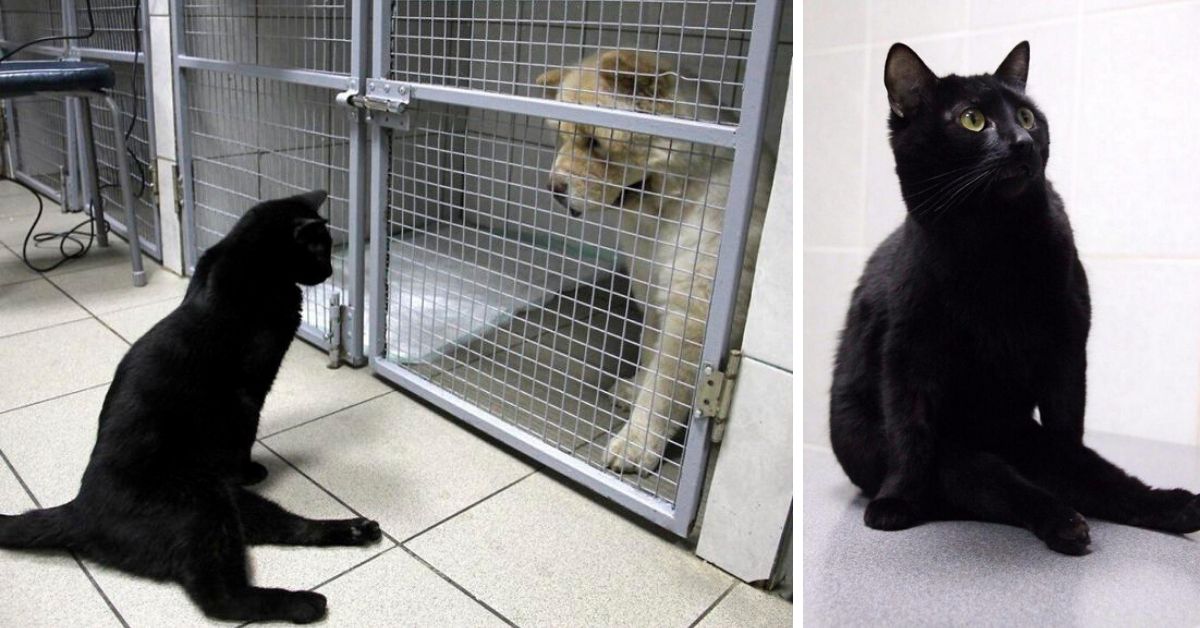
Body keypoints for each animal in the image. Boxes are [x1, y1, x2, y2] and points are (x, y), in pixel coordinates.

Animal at [0, 192, 379, 624]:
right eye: (322, 248)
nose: (330, 269)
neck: (245, 258)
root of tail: (77, 510)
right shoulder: (247, 395)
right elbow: (245, 434)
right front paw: (248, 469)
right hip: (204, 511)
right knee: (220, 597)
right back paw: (305, 603)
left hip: (229, 508)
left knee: (290, 529)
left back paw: (357, 530)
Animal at [532, 50, 768, 470]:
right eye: (560, 138)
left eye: (594, 142)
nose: (553, 188)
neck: (664, 209)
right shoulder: (652, 293)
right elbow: (648, 355)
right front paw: (632, 389)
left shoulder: (691, 312)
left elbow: (663, 388)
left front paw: (635, 445)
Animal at [830, 41, 1200, 554]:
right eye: (972, 120)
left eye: (1026, 116)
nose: (1023, 142)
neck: (994, 245)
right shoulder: (907, 355)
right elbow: (909, 434)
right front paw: (897, 500)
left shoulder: (1068, 350)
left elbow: (1070, 438)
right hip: (949, 452)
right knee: (994, 482)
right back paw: (1063, 521)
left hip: (1027, 432)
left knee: (1102, 478)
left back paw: (1175, 506)